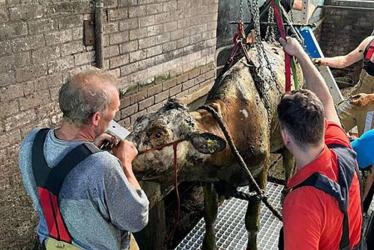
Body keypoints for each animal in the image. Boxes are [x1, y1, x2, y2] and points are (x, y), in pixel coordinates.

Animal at [128, 42, 300, 249]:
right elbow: (209, 215)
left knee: (289, 162)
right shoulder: (209, 177)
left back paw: (285, 194)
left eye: (158, 133)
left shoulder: (260, 173)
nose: (112, 147)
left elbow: (252, 222)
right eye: (138, 121)